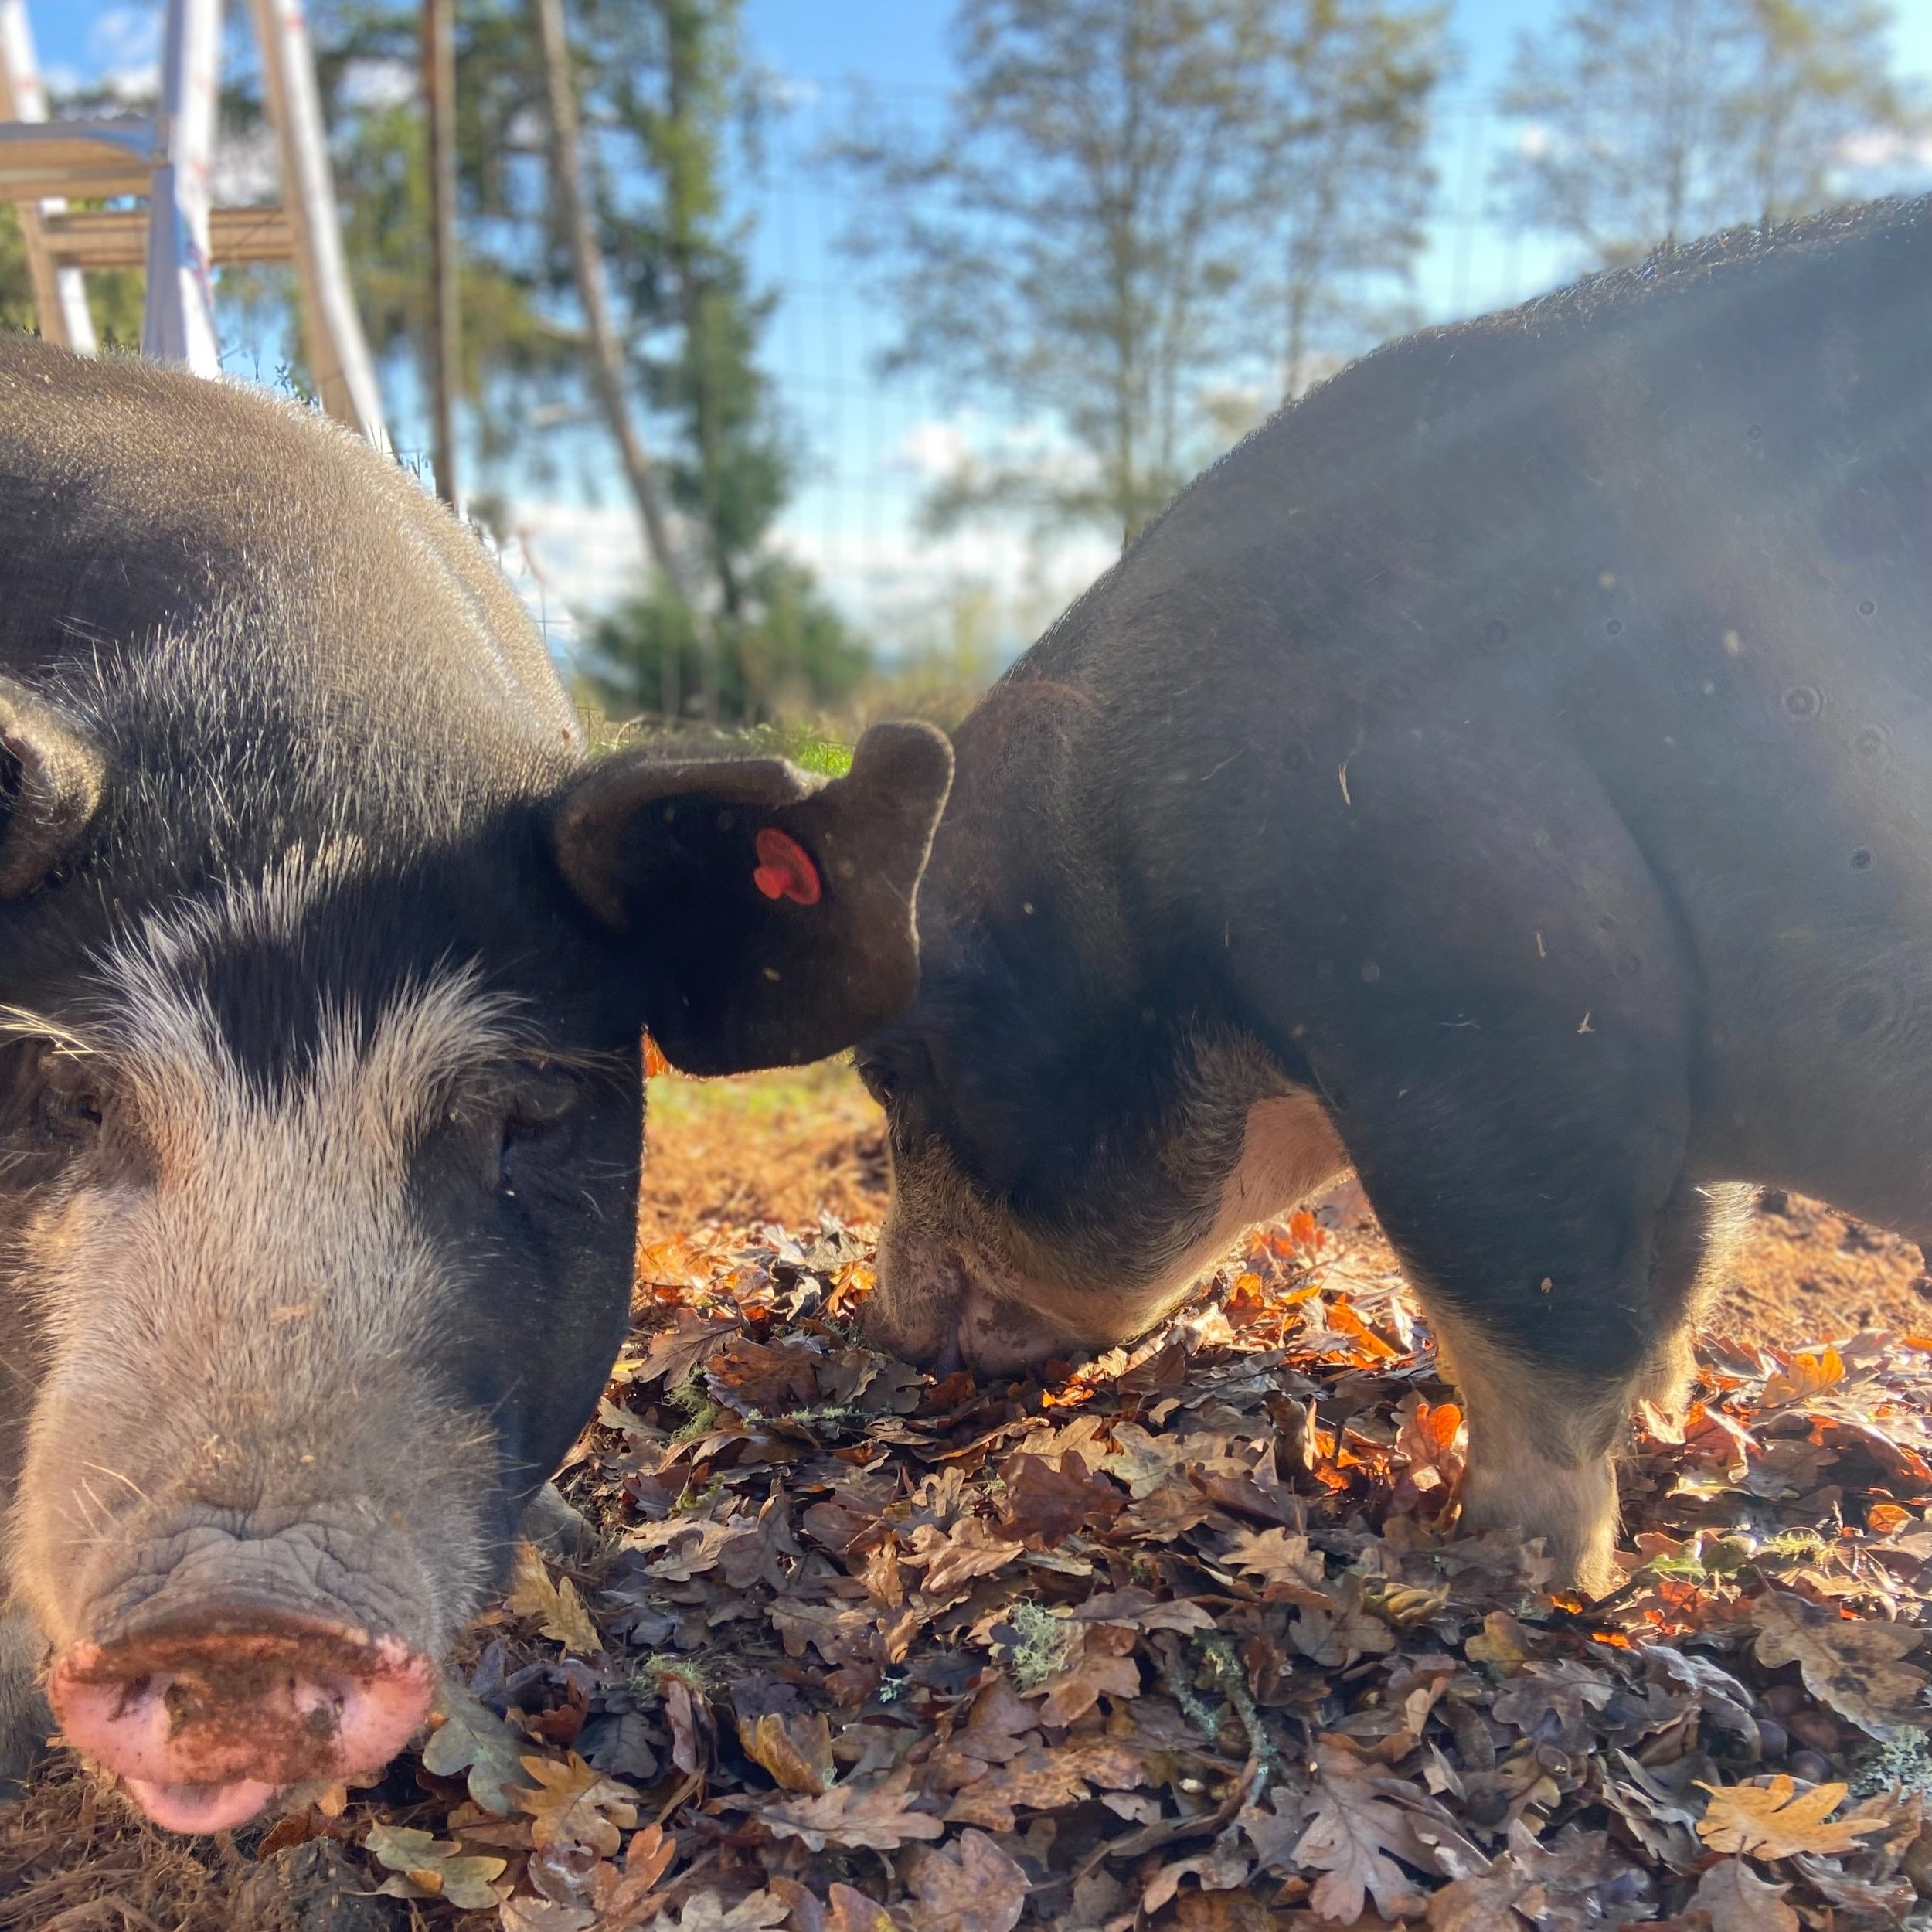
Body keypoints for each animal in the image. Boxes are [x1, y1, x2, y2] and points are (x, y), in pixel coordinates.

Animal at [857, 197, 1930, 1597]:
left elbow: (1528, 1335)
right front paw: (1661, 1449)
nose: (881, 1324)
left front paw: (1519, 1569)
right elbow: (1673, 1295)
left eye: (887, 1071)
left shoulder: (1481, 1013)